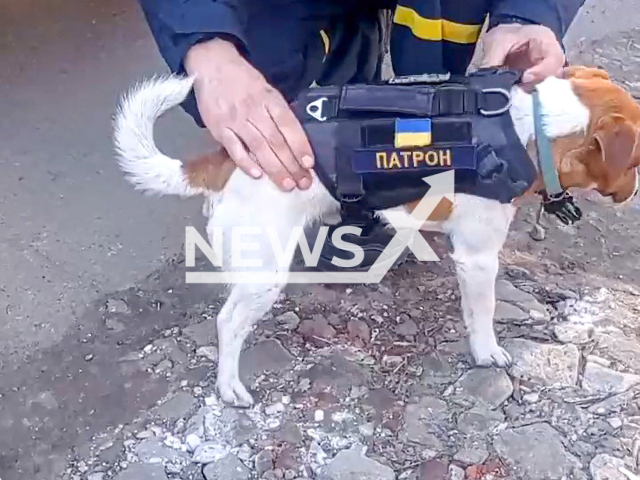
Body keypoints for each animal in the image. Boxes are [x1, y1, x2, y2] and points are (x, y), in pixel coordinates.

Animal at [112, 66, 640, 404]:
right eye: (635, 160)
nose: (633, 194)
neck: (531, 126)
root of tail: (225, 160)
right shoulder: (478, 256)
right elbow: (483, 314)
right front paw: (486, 352)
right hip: (263, 271)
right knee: (227, 324)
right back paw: (228, 387)